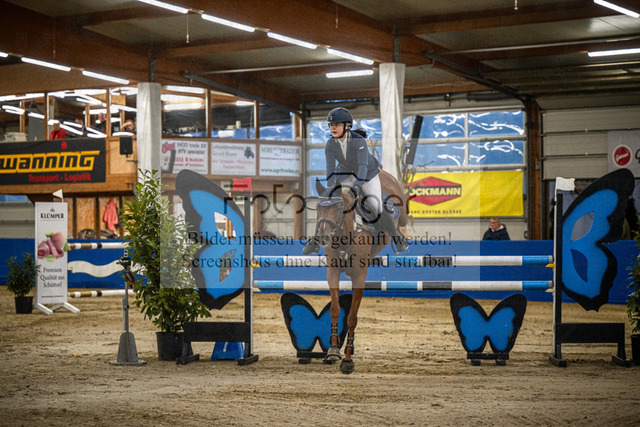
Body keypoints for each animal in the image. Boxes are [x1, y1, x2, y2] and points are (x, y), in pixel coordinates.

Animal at [312, 169, 409, 374]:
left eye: (338, 208)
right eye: (317, 208)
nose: (323, 237)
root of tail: (383, 172)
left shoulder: (359, 276)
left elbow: (352, 317)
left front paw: (348, 359)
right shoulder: (333, 272)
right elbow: (335, 309)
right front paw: (333, 350)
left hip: (402, 210)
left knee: (402, 222)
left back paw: (402, 239)